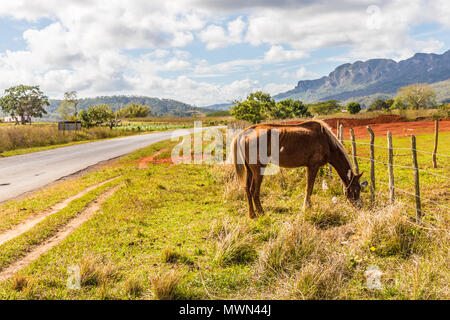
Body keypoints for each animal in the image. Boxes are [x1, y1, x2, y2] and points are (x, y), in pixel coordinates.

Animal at [230, 120, 364, 220]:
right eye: (356, 190)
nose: (359, 207)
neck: (326, 140)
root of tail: (244, 133)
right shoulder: (313, 166)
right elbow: (309, 188)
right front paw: (307, 207)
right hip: (258, 170)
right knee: (254, 191)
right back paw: (261, 213)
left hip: (249, 170)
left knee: (247, 189)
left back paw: (252, 215)